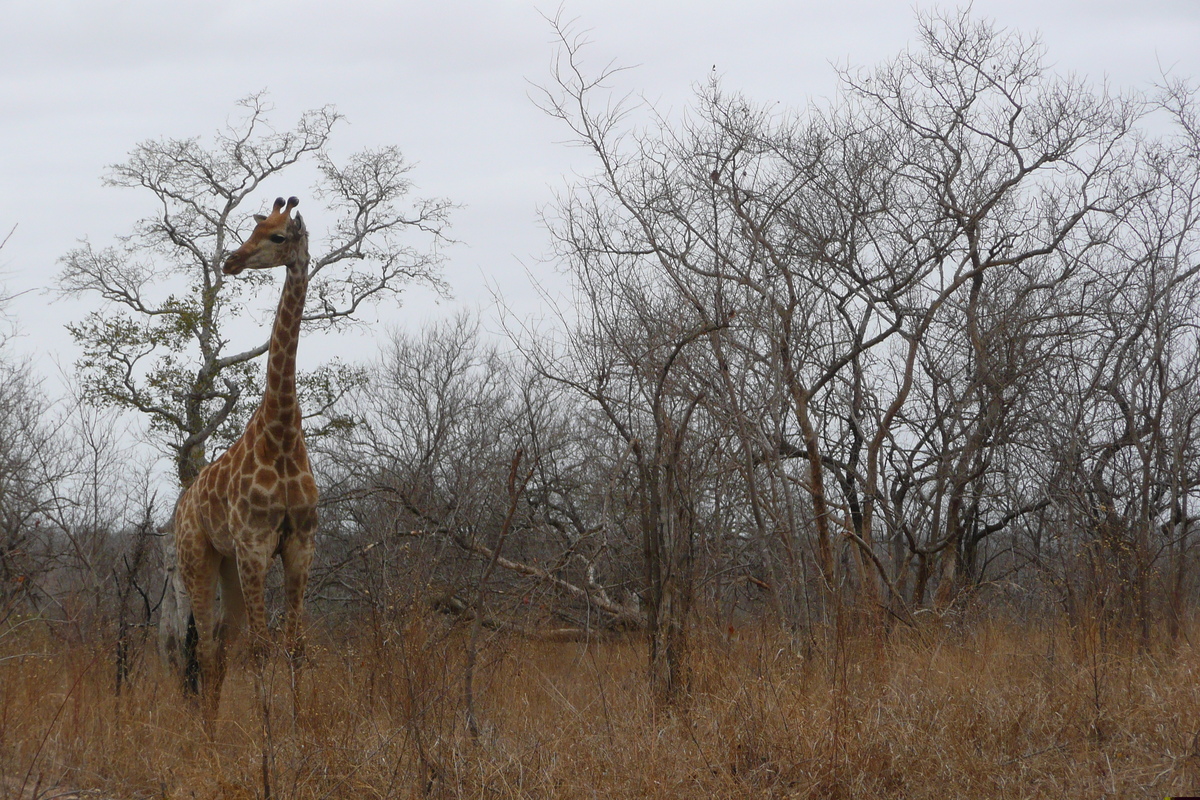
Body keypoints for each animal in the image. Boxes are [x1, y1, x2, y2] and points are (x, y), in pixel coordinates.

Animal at [171, 195, 319, 719]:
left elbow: (294, 645)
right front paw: (266, 734)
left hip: (228, 565)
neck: (282, 432)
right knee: (207, 648)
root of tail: (182, 504)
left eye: (278, 236)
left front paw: (302, 729)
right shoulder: (256, 544)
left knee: (220, 644)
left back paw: (212, 729)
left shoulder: (299, 544)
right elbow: (260, 648)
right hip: (196, 559)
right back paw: (205, 735)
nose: (231, 261)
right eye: (253, 229)